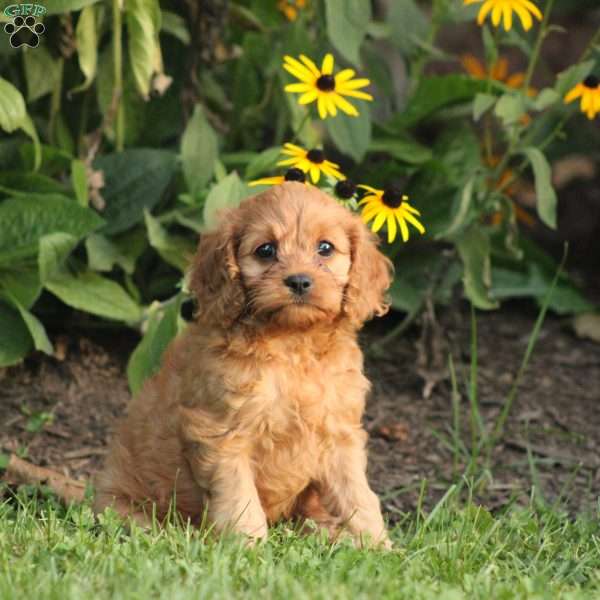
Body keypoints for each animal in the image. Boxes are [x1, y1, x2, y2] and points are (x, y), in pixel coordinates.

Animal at [94, 183, 394, 548]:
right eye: (266, 250)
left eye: (325, 248)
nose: (299, 281)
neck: (293, 343)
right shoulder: (222, 434)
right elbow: (239, 497)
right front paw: (247, 547)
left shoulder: (338, 433)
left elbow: (357, 494)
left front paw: (377, 545)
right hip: (122, 503)